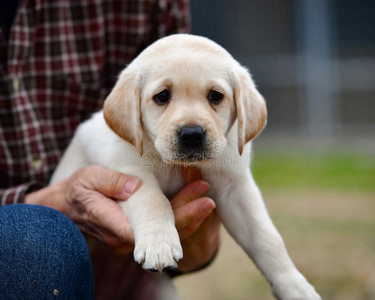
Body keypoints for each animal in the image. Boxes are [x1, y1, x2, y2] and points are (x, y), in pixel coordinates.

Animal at [51, 34, 322, 298]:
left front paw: (295, 287)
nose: (192, 134)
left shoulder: (236, 187)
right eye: (162, 96)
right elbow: (153, 201)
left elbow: (266, 236)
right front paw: (159, 244)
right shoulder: (127, 171)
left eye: (215, 96)